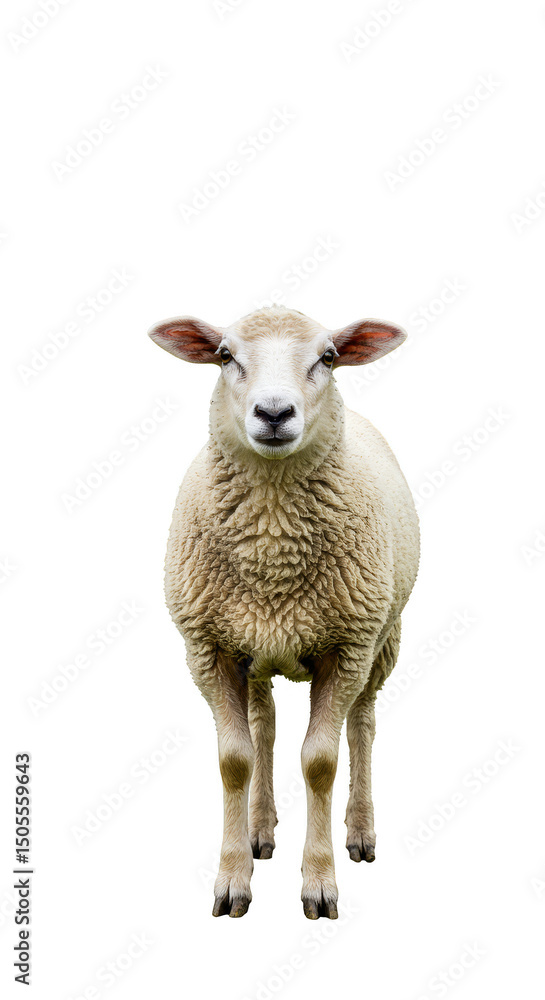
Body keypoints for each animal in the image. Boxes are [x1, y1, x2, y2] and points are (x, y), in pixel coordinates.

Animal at [148, 305, 420, 919]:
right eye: (225, 355)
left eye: (328, 357)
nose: (274, 413)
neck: (272, 541)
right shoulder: (208, 649)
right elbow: (235, 759)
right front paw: (232, 880)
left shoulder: (347, 647)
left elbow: (320, 762)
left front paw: (319, 883)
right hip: (253, 642)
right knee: (264, 727)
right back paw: (260, 827)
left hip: (382, 640)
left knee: (362, 724)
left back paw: (360, 830)